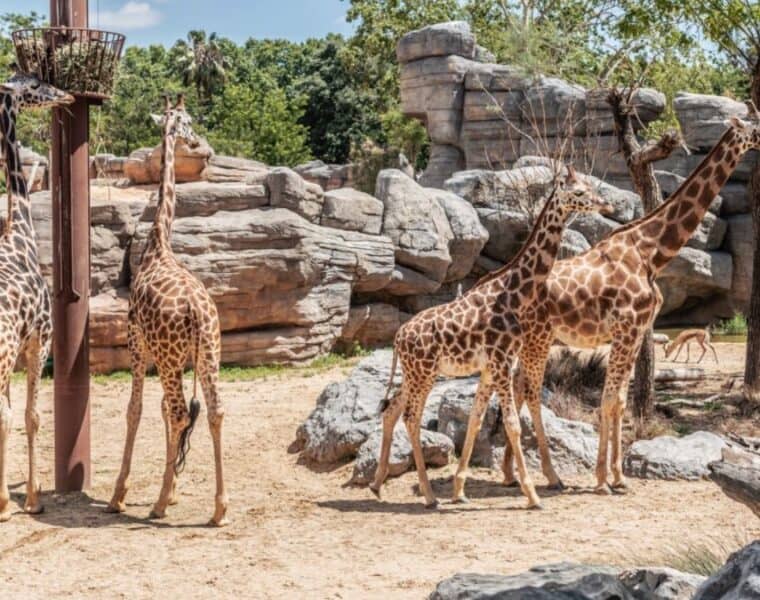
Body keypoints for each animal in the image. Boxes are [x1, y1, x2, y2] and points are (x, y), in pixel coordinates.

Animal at [106, 95, 229, 524]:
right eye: (186, 121)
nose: (195, 140)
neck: (159, 244)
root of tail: (196, 311)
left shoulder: (136, 342)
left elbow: (136, 408)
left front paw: (120, 494)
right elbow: (157, 409)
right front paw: (172, 486)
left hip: (170, 357)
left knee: (178, 412)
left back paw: (157, 505)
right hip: (208, 355)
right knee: (214, 411)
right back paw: (219, 508)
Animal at [368, 166, 612, 508]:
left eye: (590, 186)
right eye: (578, 192)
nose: (606, 205)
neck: (513, 294)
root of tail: (398, 337)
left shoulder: (490, 367)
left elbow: (476, 419)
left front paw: (459, 491)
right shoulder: (501, 362)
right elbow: (511, 424)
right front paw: (532, 494)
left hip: (415, 374)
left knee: (391, 410)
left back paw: (377, 485)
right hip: (424, 374)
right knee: (411, 417)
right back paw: (428, 496)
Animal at [498, 115, 760, 494]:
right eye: (755, 128)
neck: (651, 251)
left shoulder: (636, 332)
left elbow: (620, 400)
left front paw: (617, 476)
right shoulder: (627, 329)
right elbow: (609, 399)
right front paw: (603, 479)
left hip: (530, 341)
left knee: (518, 386)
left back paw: (511, 473)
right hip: (538, 339)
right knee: (527, 388)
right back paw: (540, 475)